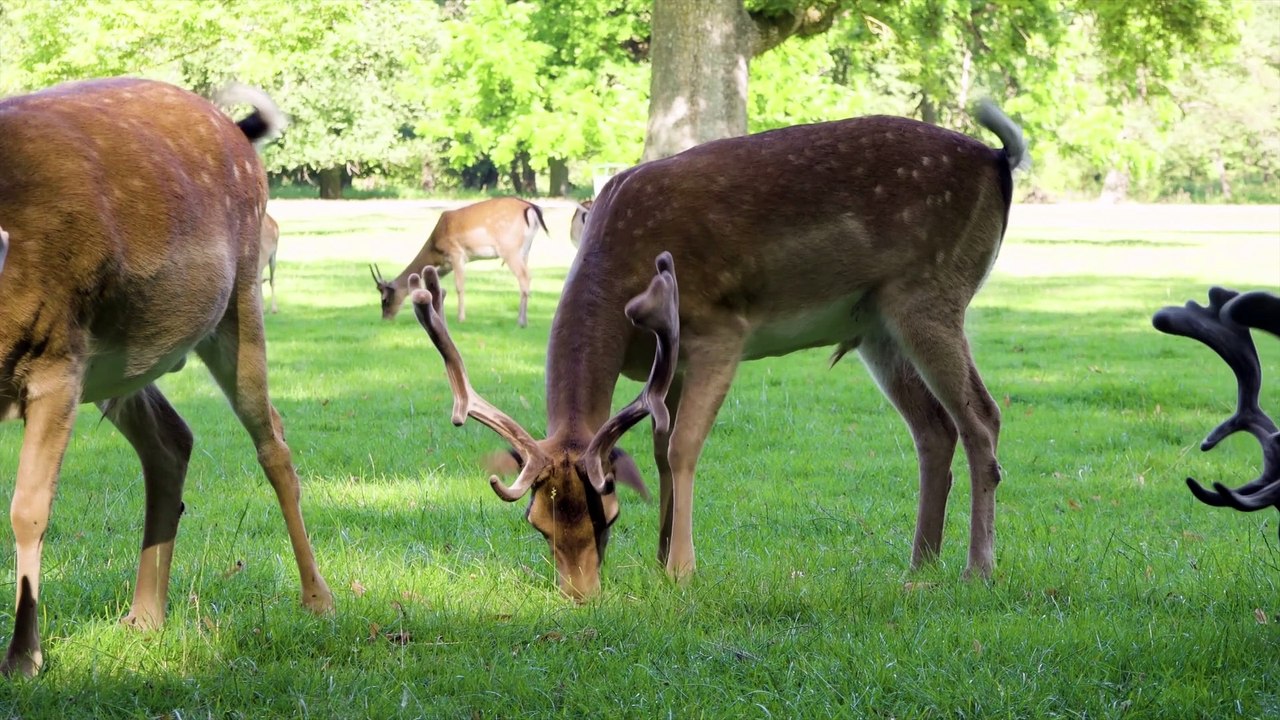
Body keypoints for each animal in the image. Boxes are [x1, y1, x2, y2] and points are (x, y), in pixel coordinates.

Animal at [0, 78, 335, 676]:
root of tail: (240, 132)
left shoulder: (58, 361)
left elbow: (29, 510)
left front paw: (24, 657)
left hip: (237, 301)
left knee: (273, 441)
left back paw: (318, 598)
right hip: (121, 361)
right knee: (171, 440)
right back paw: (145, 615)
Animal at [370, 197, 547, 328]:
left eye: (385, 299)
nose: (385, 319)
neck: (435, 248)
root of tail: (532, 208)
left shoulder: (456, 254)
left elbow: (459, 286)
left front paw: (461, 318)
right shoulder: (445, 265)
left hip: (509, 249)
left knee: (524, 276)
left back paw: (521, 321)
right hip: (525, 250)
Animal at [409, 101, 1029, 600]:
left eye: (609, 515)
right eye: (537, 523)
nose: (579, 595)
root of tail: (999, 160)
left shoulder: (718, 332)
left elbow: (684, 448)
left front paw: (681, 569)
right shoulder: (671, 362)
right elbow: (660, 453)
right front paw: (660, 557)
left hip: (931, 292)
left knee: (983, 418)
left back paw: (978, 569)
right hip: (877, 326)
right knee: (933, 428)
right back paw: (919, 565)